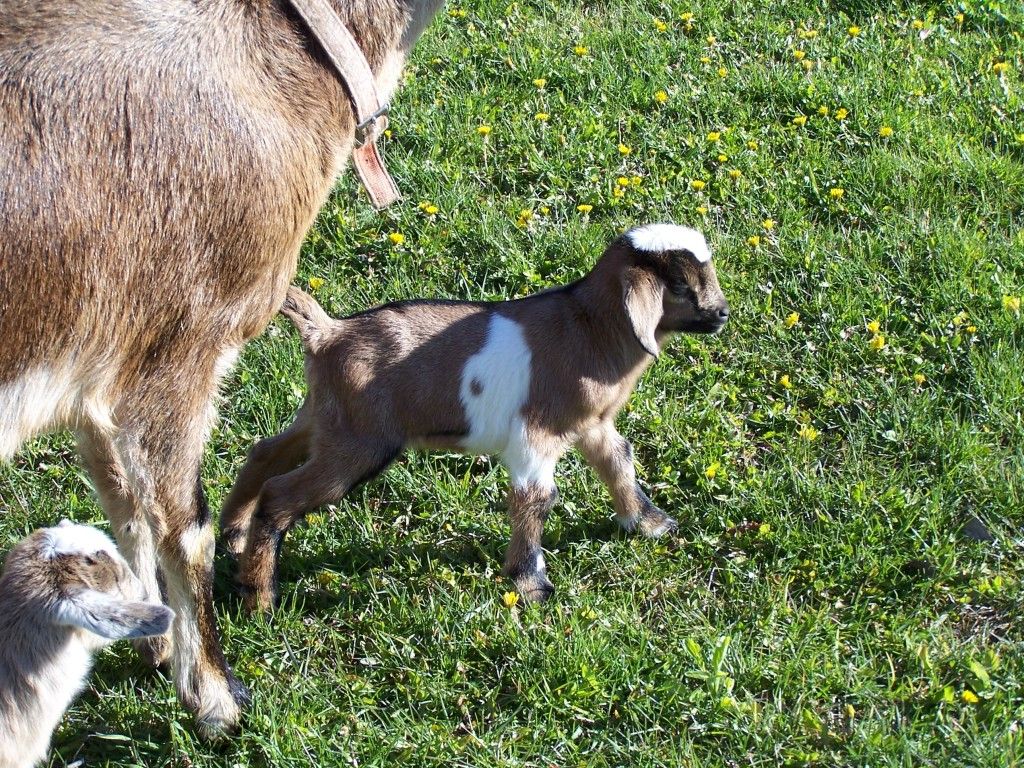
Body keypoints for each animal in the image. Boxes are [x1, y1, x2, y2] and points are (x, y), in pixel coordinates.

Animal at [0, 0, 443, 734]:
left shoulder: (101, 369)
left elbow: (125, 503)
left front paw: (150, 639)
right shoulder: (182, 348)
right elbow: (185, 530)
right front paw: (213, 696)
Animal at [220, 224, 730, 609]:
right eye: (680, 285)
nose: (722, 314)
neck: (588, 329)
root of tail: (327, 332)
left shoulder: (591, 426)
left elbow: (618, 460)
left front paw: (649, 523)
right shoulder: (536, 434)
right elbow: (536, 497)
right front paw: (531, 584)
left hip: (324, 417)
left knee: (265, 453)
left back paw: (233, 537)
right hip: (357, 442)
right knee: (280, 495)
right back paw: (260, 598)